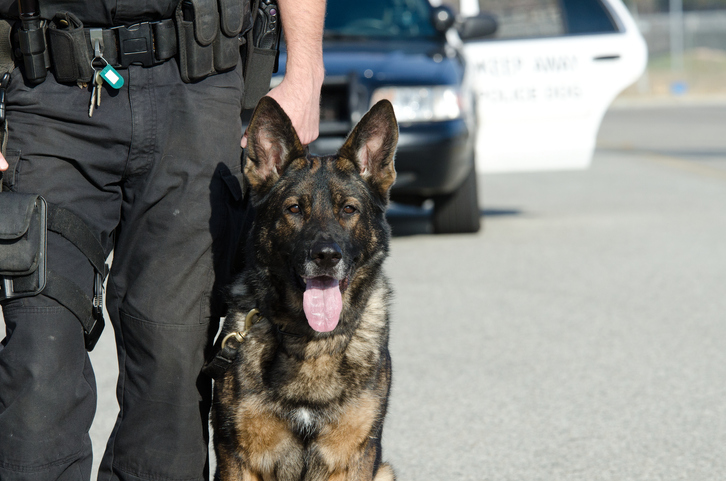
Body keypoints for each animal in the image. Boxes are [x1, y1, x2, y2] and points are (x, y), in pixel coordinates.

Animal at [212, 95, 398, 478]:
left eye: (349, 209)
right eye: (294, 208)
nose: (326, 256)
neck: (310, 342)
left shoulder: (355, 457)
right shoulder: (238, 457)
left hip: (385, 470)